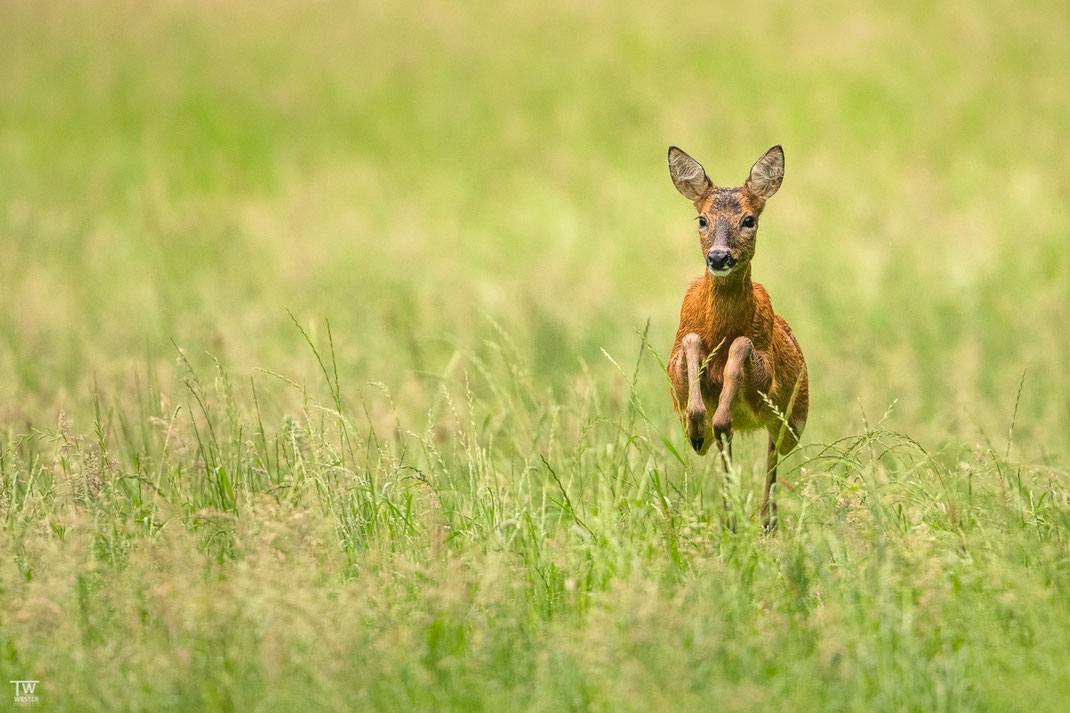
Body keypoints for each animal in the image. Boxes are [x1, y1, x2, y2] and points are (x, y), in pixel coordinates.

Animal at [663, 144, 804, 524]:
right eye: (702, 220)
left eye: (748, 220)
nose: (718, 257)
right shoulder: (675, 370)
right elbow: (692, 342)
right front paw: (697, 426)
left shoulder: (764, 380)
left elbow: (742, 345)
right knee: (728, 451)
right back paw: (730, 518)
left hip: (792, 419)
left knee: (772, 458)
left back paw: (766, 521)